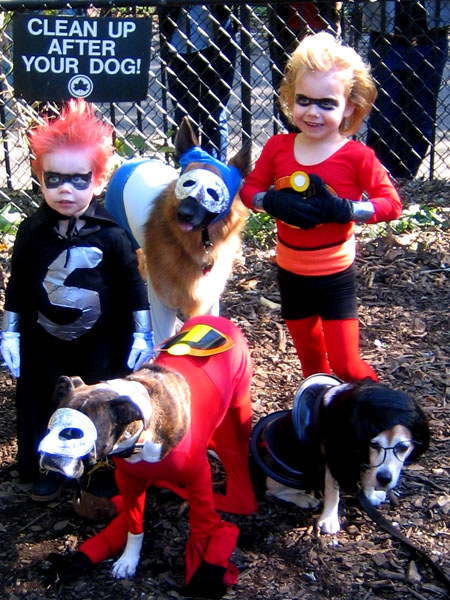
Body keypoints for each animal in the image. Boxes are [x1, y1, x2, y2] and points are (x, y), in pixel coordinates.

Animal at [38, 315, 257, 599]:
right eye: (51, 426)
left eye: (76, 434)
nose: (48, 455)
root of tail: (214, 319)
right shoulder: (129, 482)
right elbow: (134, 526)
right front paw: (129, 560)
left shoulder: (199, 480)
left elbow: (202, 526)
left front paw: (202, 568)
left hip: (239, 409)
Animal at [105, 118, 250, 344]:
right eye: (187, 184)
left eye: (212, 192)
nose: (183, 214)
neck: (198, 245)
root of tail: (131, 162)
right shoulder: (162, 301)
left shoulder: (209, 299)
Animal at [251, 374, 429, 534]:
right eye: (374, 444)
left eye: (403, 447)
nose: (384, 479)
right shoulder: (333, 462)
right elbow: (333, 493)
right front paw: (329, 520)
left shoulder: (364, 459)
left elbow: (367, 480)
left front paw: (370, 497)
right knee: (272, 492)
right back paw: (304, 499)